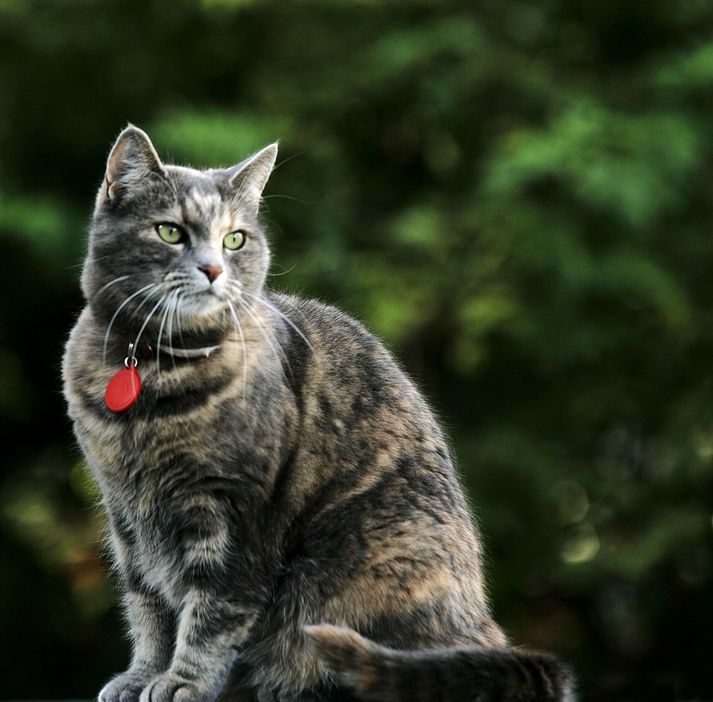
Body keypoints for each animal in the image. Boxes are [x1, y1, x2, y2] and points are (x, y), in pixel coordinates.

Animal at [59, 126, 572, 702]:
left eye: (235, 239)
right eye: (169, 231)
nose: (213, 268)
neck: (151, 371)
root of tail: (485, 630)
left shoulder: (235, 516)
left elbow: (211, 612)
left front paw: (181, 682)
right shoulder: (127, 514)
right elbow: (147, 605)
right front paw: (143, 675)